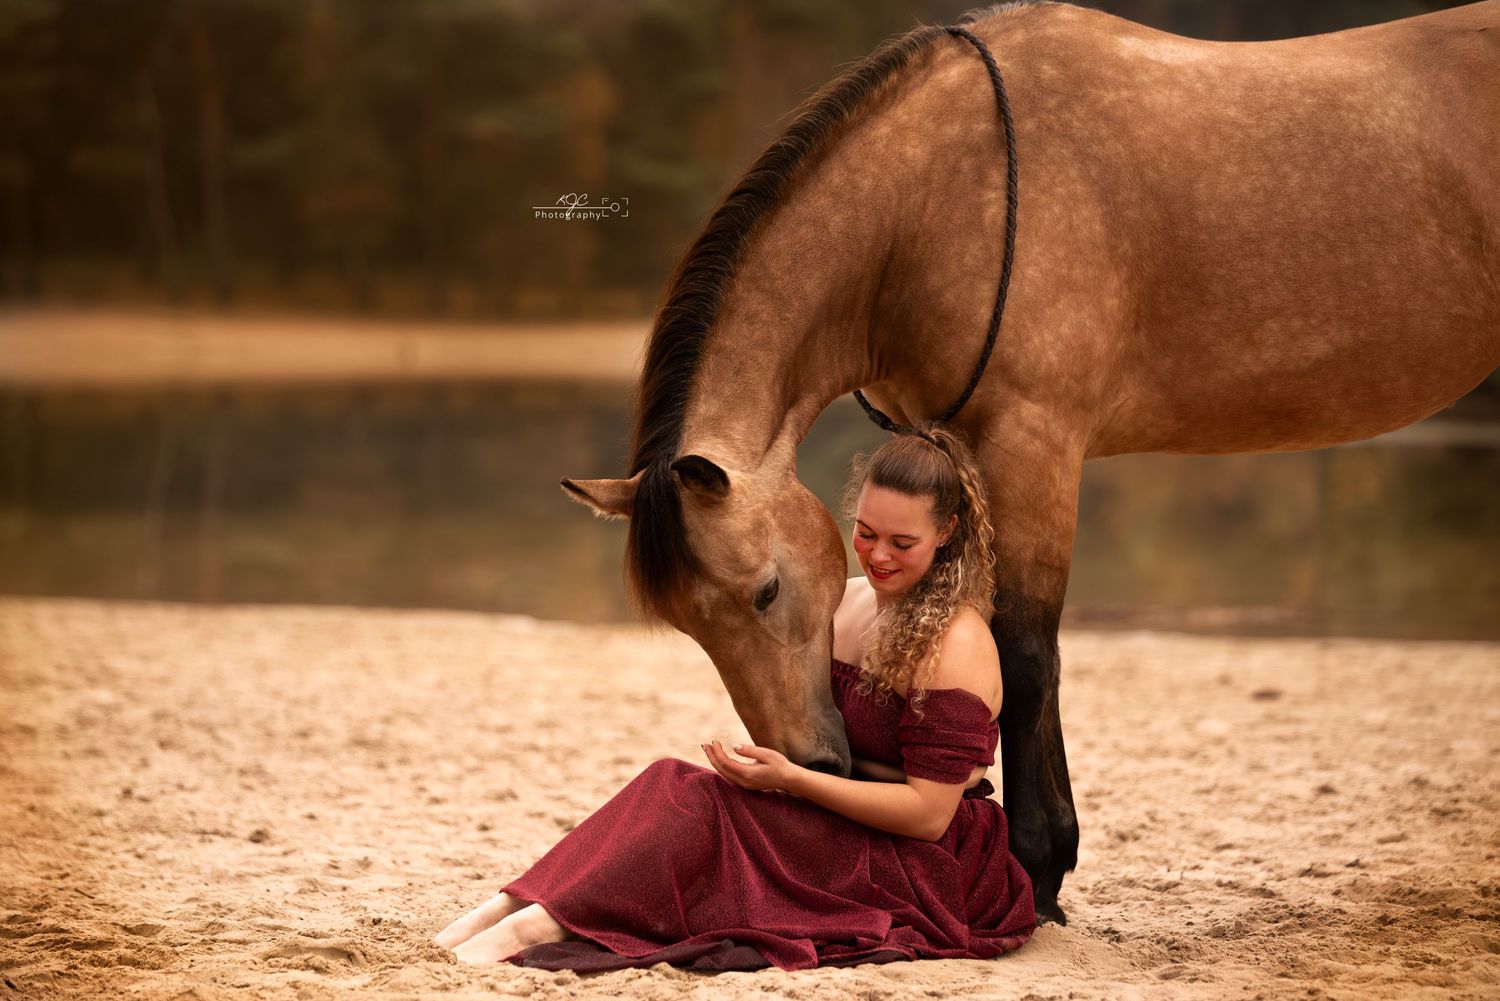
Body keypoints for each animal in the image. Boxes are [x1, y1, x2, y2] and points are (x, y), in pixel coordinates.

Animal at [560, 0, 1500, 924]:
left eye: (764, 590)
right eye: (689, 624)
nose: (812, 766)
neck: (935, 200)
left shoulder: (1034, 444)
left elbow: (1024, 652)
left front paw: (1040, 864)